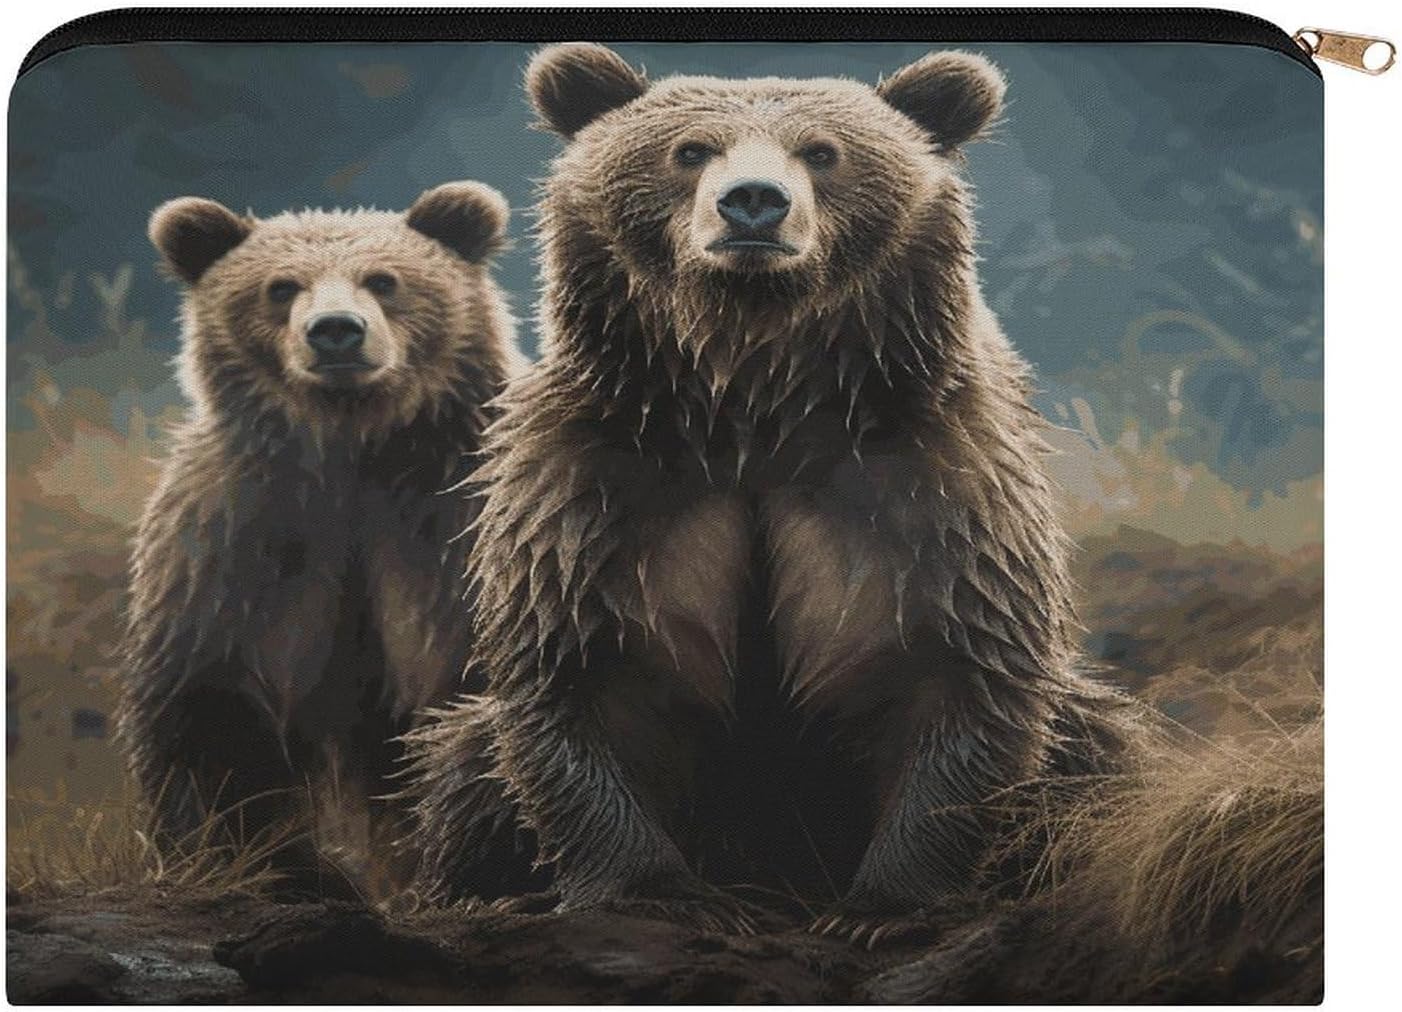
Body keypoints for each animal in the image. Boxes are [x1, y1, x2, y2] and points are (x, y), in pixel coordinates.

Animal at [118, 182, 532, 896]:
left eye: (384, 279)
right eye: (281, 287)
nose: (336, 330)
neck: (354, 448)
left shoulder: (457, 525)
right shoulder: (244, 535)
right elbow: (210, 703)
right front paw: (269, 865)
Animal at [407, 45, 1134, 940]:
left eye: (822, 151)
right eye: (689, 149)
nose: (754, 201)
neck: (753, 395)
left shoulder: (930, 479)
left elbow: (962, 669)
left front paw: (884, 906)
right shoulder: (599, 481)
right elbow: (579, 672)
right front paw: (656, 893)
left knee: (1099, 746)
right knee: (463, 764)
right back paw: (488, 891)